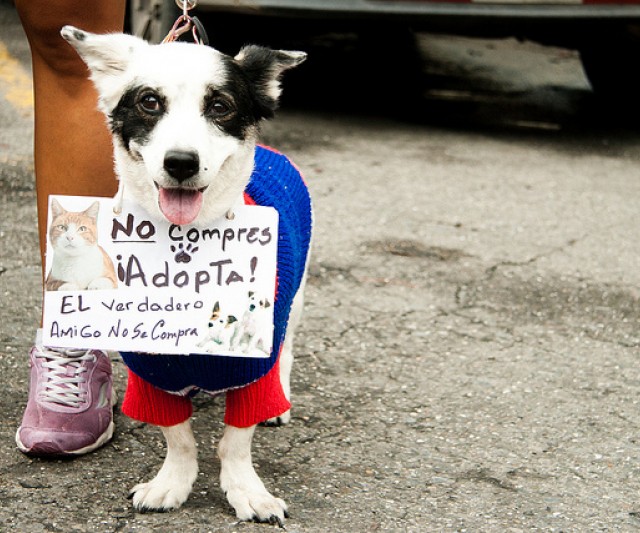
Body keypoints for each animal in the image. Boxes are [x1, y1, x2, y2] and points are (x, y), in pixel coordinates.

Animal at [60, 26, 312, 524]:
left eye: (220, 106)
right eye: (149, 102)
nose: (181, 162)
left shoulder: (254, 364)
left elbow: (237, 439)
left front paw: (246, 490)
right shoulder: (151, 369)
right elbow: (177, 435)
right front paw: (172, 482)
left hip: (295, 305)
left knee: (288, 351)